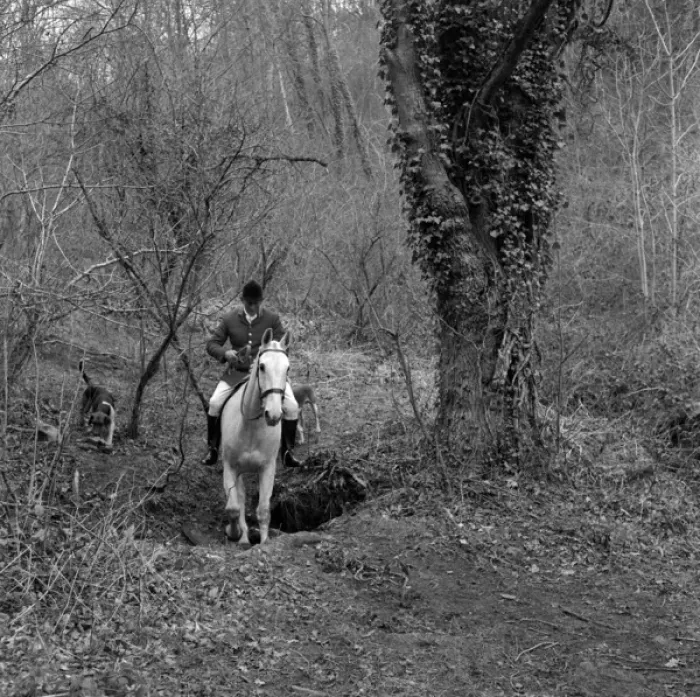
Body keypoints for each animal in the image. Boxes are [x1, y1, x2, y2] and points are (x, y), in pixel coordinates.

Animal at [219, 328, 289, 546]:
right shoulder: (230, 467)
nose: (273, 414)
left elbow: (264, 510)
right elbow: (233, 507)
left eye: (287, 369)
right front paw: (235, 533)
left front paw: (264, 542)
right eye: (262, 366)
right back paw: (242, 537)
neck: (251, 427)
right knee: (239, 501)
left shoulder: (267, 468)